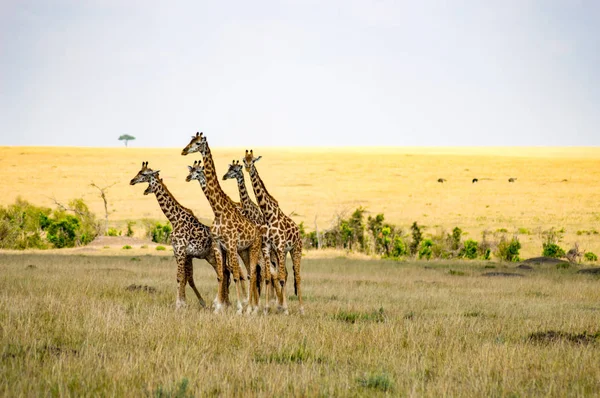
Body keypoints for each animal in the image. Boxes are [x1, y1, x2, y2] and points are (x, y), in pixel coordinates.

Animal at [130, 160, 231, 310]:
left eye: (143, 174)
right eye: (138, 172)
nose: (132, 181)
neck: (174, 219)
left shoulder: (181, 250)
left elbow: (180, 277)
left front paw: (179, 304)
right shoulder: (178, 251)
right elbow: (184, 278)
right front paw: (184, 302)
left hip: (216, 256)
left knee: (225, 274)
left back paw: (223, 303)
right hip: (211, 257)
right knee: (225, 273)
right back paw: (225, 303)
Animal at [182, 134, 264, 314]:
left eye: (198, 142)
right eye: (190, 141)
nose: (184, 150)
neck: (218, 211)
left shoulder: (231, 245)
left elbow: (234, 274)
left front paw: (239, 307)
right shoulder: (218, 245)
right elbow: (221, 274)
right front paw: (218, 306)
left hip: (254, 248)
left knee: (255, 273)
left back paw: (253, 307)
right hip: (245, 251)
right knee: (252, 273)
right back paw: (253, 306)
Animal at [243, 149, 304, 314]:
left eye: (253, 160)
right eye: (244, 160)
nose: (248, 167)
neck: (268, 215)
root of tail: (299, 231)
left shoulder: (281, 246)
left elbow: (281, 277)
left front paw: (286, 310)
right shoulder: (267, 247)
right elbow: (268, 277)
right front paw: (265, 309)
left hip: (295, 250)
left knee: (297, 276)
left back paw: (301, 309)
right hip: (281, 252)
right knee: (285, 274)